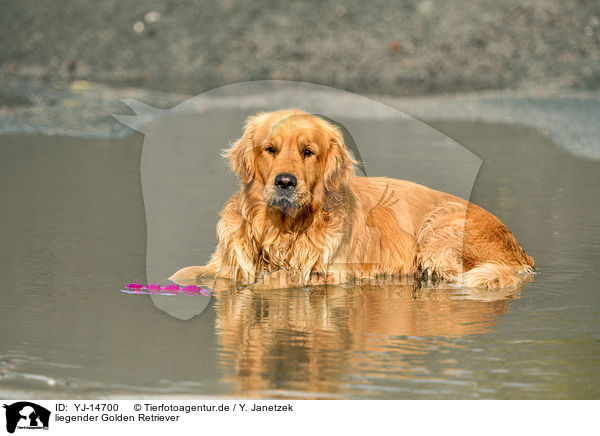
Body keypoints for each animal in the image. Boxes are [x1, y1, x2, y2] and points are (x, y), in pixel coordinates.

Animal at [170, 109, 536, 288]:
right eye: (270, 149)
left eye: (308, 152)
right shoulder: (226, 264)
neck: (283, 231)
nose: (285, 182)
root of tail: (521, 252)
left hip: (438, 236)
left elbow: (276, 280)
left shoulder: (330, 273)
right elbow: (185, 273)